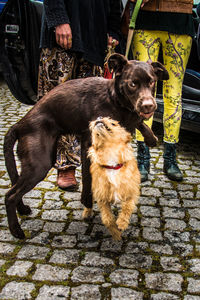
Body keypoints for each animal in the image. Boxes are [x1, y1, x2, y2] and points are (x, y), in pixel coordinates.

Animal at [3, 52, 169, 238]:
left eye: (152, 82)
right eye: (133, 84)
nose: (149, 106)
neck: (115, 100)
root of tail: (20, 124)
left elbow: (138, 121)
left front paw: (151, 137)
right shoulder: (88, 143)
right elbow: (88, 178)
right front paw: (87, 204)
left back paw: (22, 210)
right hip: (39, 165)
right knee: (10, 195)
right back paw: (16, 230)